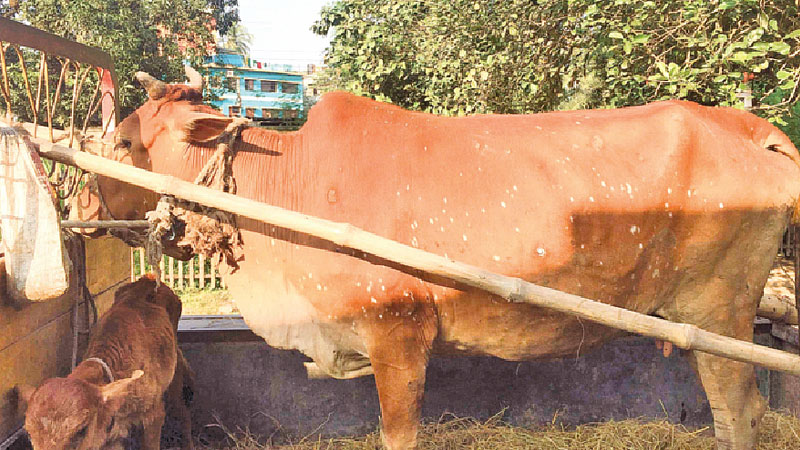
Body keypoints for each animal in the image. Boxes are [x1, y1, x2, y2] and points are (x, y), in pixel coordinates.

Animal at [16, 274, 194, 450]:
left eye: (82, 430)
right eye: (29, 434)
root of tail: (148, 278)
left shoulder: (154, 414)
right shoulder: (110, 437)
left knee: (182, 408)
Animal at [73, 67, 800, 450]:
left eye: (127, 140)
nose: (78, 199)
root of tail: (742, 125)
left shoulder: (398, 334)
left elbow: (400, 434)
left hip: (718, 309)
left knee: (741, 410)